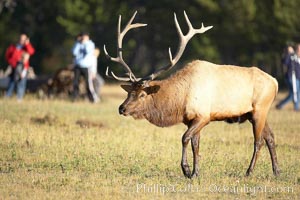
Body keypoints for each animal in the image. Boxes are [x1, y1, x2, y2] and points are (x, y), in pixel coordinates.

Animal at [104, 10, 280, 178]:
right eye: (129, 92)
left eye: (142, 94)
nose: (122, 108)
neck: (180, 100)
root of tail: (275, 82)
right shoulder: (191, 120)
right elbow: (196, 144)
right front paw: (196, 172)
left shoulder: (203, 116)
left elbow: (184, 138)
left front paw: (187, 170)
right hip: (254, 113)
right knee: (270, 137)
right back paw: (277, 171)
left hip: (259, 109)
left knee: (258, 141)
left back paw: (249, 172)